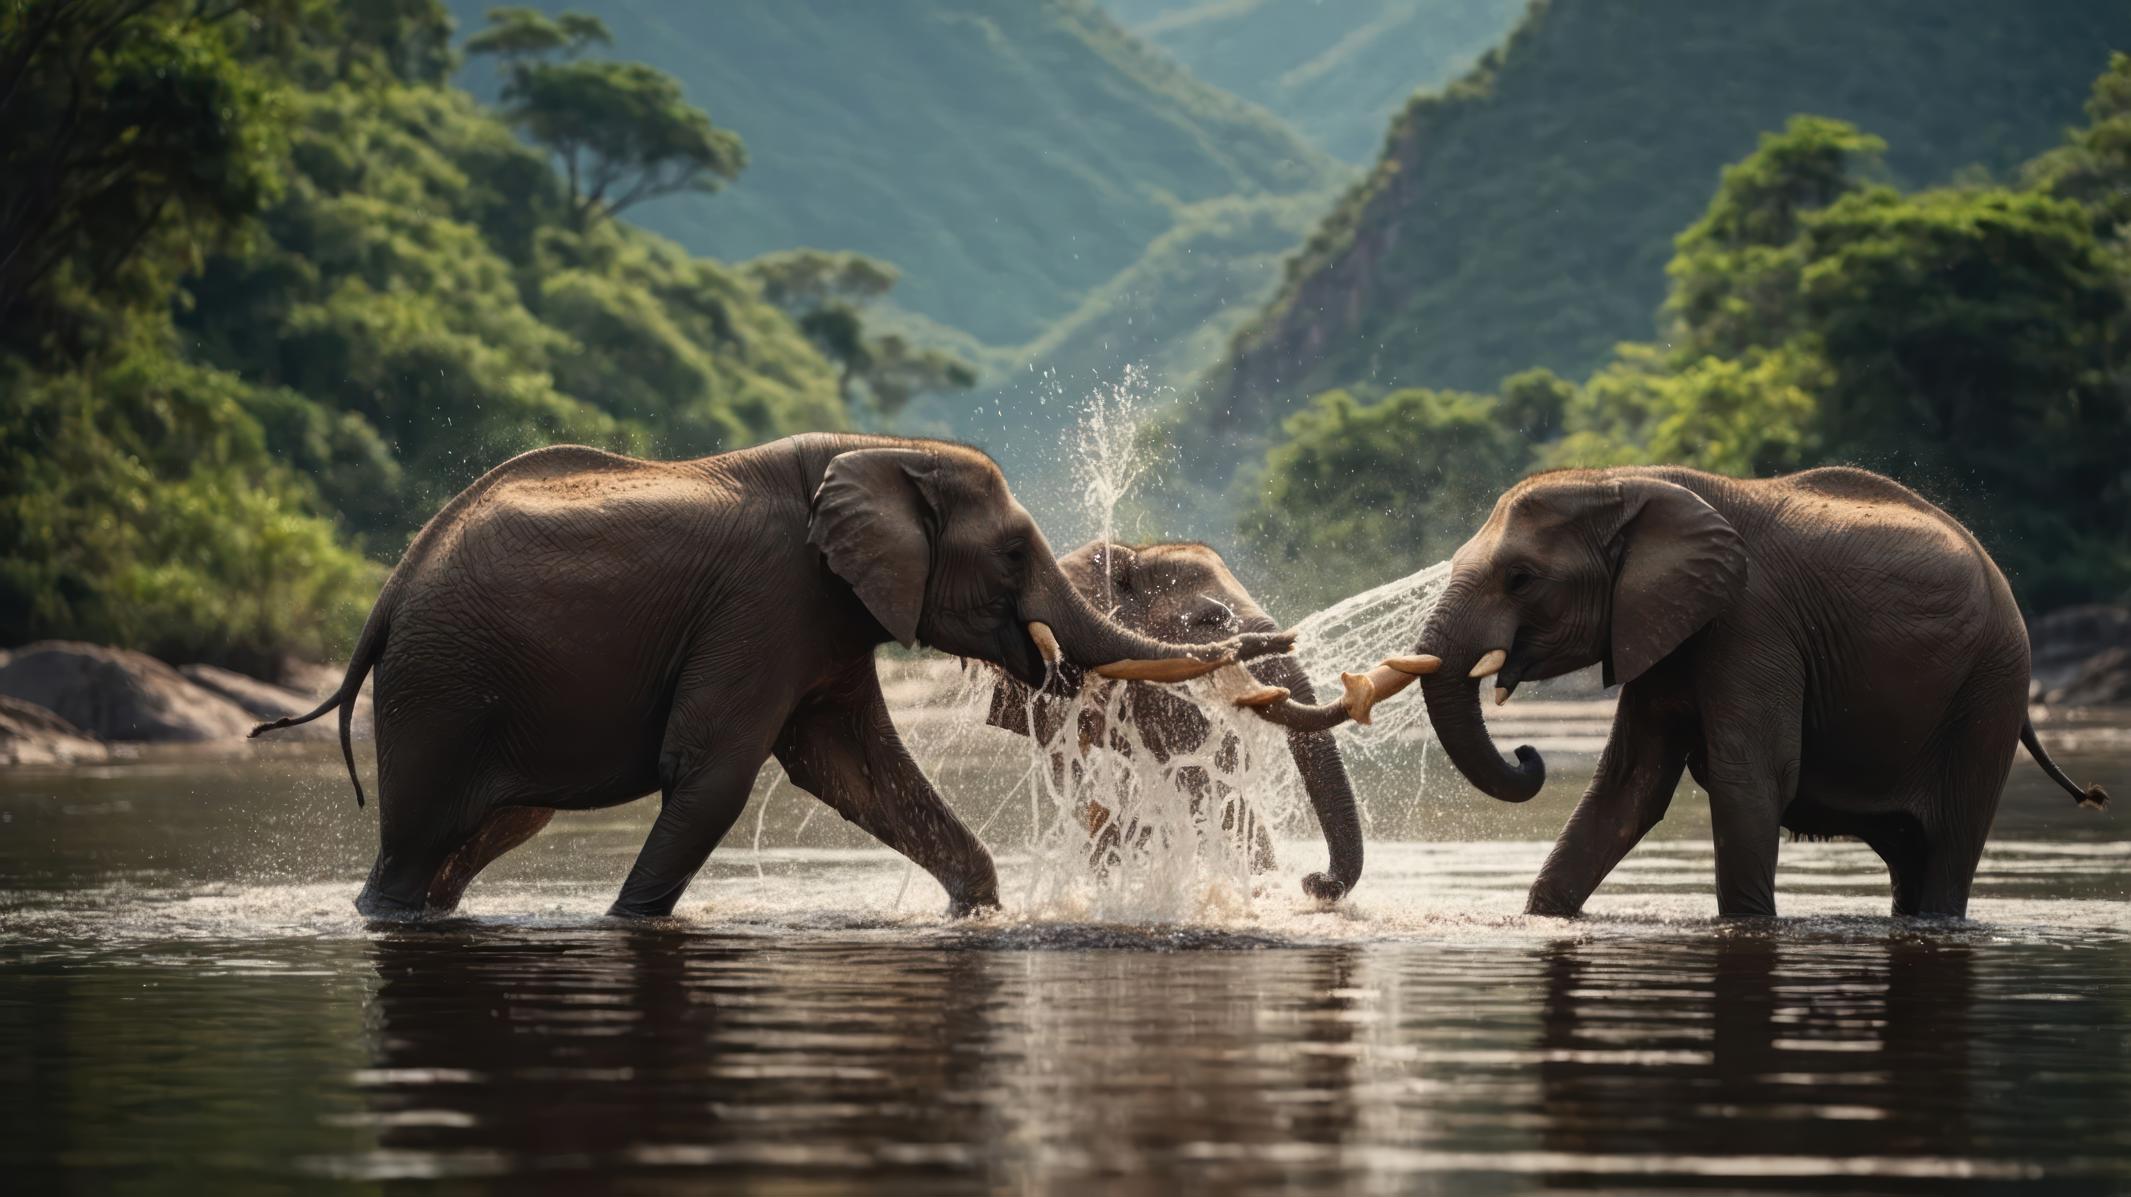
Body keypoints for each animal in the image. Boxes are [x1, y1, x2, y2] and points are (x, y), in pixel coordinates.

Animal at [252, 434, 1292, 919]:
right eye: (1009, 554)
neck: (874, 447)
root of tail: (389, 592)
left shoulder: (826, 618)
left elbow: (858, 772)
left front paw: (976, 909)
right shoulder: (764, 602)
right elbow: (711, 776)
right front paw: (627, 920)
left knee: (493, 831)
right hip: (441, 685)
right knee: (416, 842)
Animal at [1267, 465, 2109, 918]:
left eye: (1522, 579)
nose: (1529, 751)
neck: (1631, 482)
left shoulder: (1753, 624)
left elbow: (1749, 778)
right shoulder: (1660, 629)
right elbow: (1627, 786)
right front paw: (1542, 917)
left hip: (1988, 692)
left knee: (1946, 847)